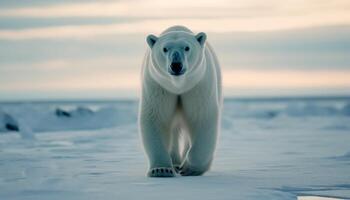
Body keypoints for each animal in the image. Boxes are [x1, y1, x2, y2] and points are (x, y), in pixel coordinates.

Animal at [139, 25, 221, 177]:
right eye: (165, 49)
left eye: (187, 48)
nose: (176, 65)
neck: (178, 85)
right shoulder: (158, 87)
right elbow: (156, 118)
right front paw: (161, 169)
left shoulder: (198, 87)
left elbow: (202, 118)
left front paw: (190, 168)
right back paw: (176, 163)